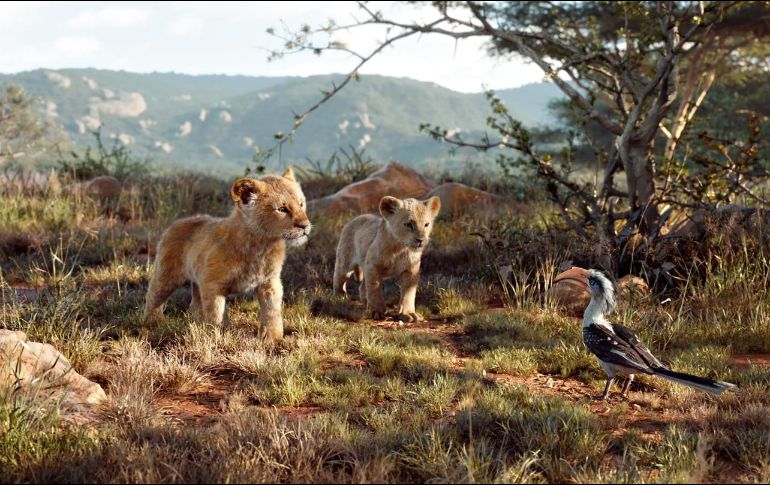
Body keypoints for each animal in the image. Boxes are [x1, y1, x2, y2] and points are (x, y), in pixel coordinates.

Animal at [143, 167, 310, 340]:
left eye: (301, 204)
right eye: (282, 209)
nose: (305, 226)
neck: (262, 245)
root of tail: (177, 223)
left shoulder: (270, 282)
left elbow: (272, 311)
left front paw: (273, 338)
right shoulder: (212, 285)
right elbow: (215, 314)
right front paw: (215, 336)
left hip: (196, 281)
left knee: (195, 305)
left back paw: (196, 324)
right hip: (166, 276)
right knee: (153, 297)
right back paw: (152, 324)